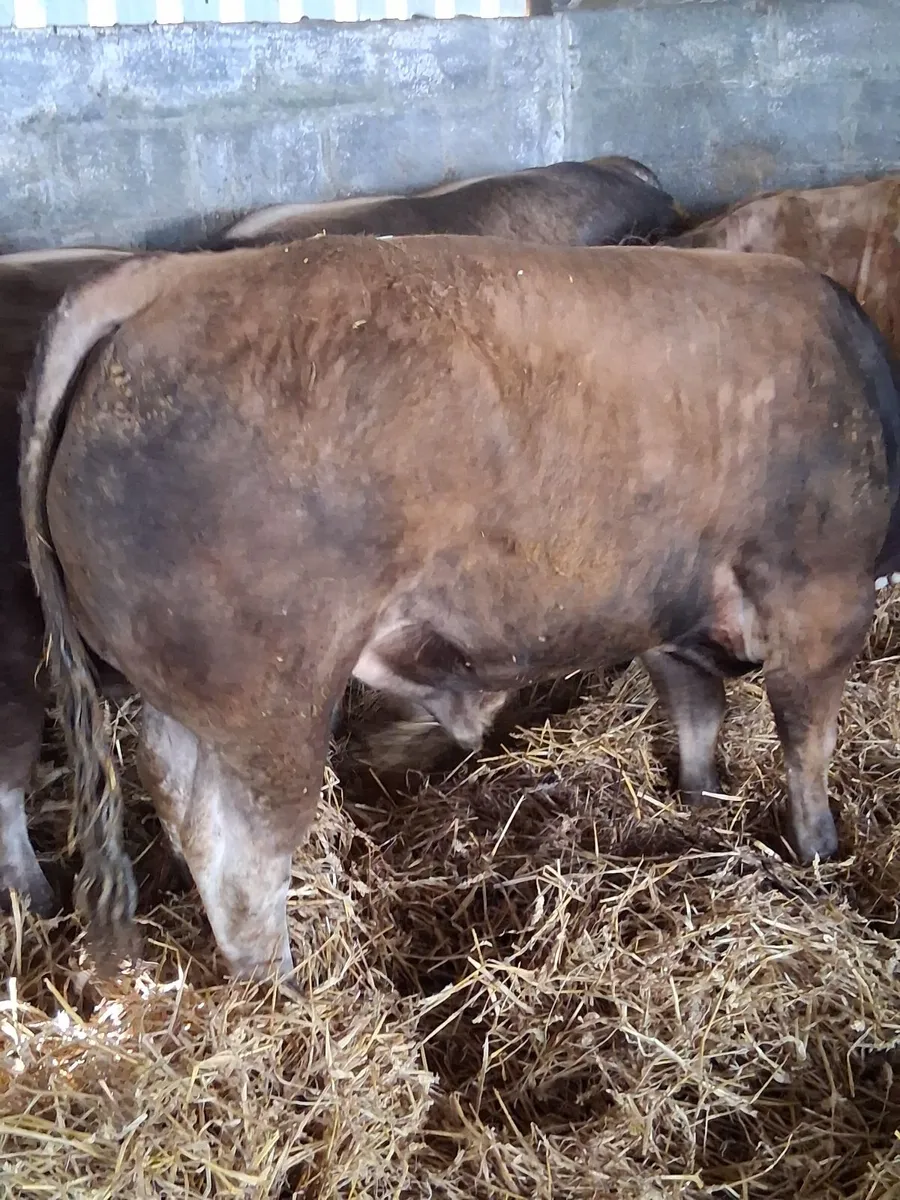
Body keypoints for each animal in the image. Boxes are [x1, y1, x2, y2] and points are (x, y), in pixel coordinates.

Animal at [20, 235, 900, 982]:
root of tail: (165, 281)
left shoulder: (669, 619)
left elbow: (698, 717)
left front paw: (702, 802)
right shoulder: (824, 598)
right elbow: (806, 741)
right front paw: (820, 854)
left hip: (180, 696)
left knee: (184, 806)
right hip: (273, 702)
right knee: (244, 856)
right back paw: (287, 990)